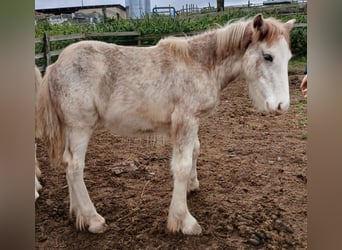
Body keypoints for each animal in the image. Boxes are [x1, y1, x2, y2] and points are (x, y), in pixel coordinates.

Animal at [36, 14, 296, 234]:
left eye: (288, 58)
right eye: (268, 56)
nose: (282, 105)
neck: (201, 64)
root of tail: (54, 66)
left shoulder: (193, 121)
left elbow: (195, 151)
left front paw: (192, 185)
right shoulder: (185, 120)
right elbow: (181, 165)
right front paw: (183, 221)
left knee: (67, 164)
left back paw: (76, 212)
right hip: (80, 128)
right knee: (74, 167)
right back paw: (92, 219)